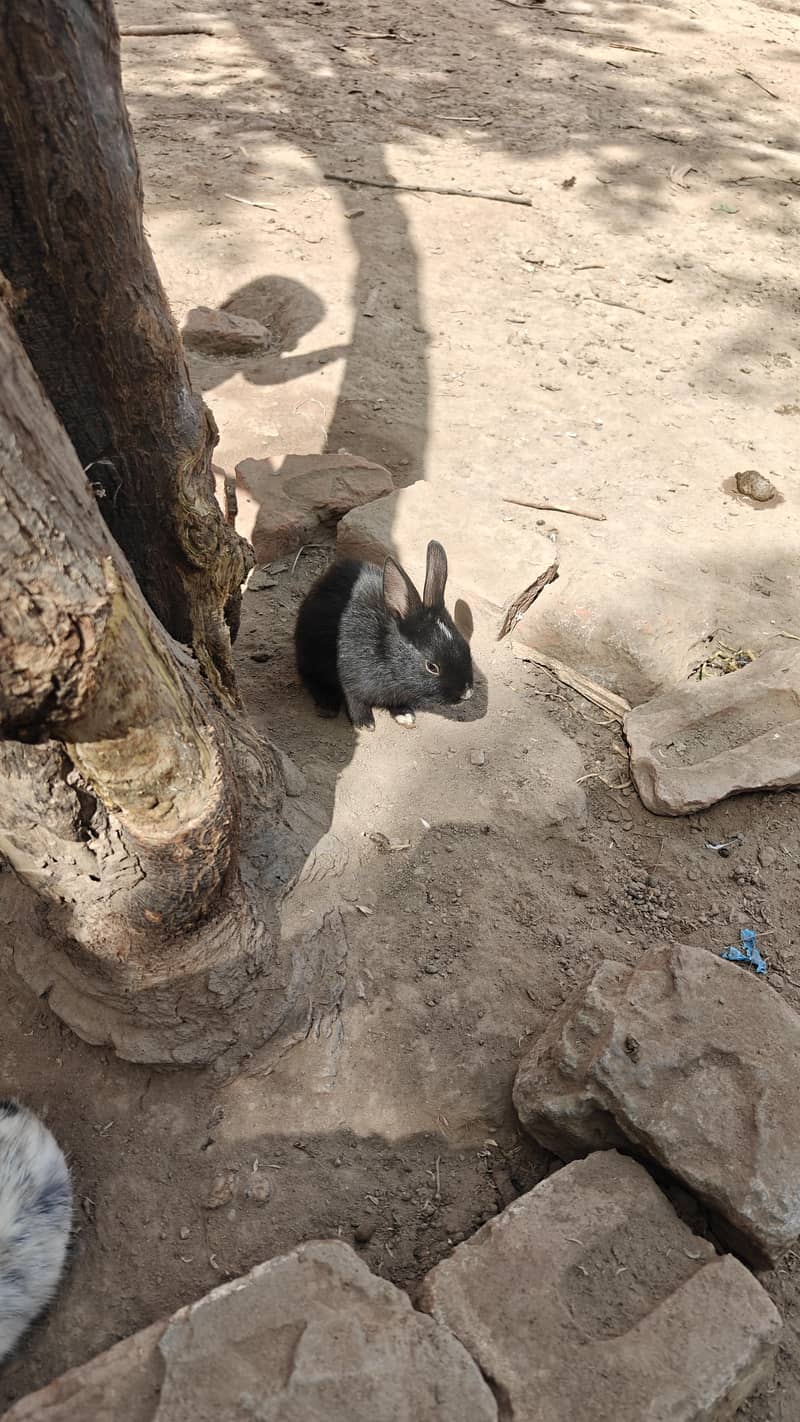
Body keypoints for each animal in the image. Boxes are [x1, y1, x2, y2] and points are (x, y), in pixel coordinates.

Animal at [295, 540, 473, 730]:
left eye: (467, 649)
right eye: (432, 667)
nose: (467, 693)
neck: (387, 654)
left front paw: (405, 716)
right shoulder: (349, 679)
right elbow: (355, 701)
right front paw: (364, 723)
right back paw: (327, 706)